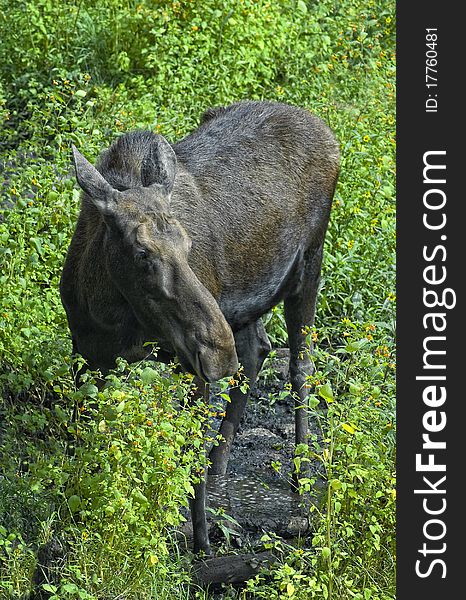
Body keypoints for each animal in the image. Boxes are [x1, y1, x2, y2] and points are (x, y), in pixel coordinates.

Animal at [61, 101, 338, 556]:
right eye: (142, 252)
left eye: (188, 245)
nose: (216, 350)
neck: (112, 313)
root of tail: (327, 131)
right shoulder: (87, 354)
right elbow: (83, 444)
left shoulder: (190, 368)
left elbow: (187, 452)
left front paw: (202, 543)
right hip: (247, 302)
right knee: (257, 350)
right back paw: (221, 463)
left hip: (308, 266)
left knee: (300, 366)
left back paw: (300, 475)